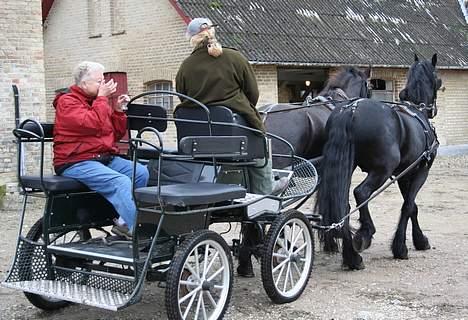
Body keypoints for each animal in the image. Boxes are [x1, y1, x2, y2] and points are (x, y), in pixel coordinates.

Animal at [316, 53, 440, 268]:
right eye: (438, 81)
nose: (434, 110)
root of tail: (351, 110)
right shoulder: (420, 171)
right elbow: (408, 206)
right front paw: (401, 247)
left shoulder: (403, 175)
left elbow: (412, 207)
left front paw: (419, 240)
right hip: (381, 170)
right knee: (361, 192)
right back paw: (365, 234)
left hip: (347, 168)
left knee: (344, 205)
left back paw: (352, 257)